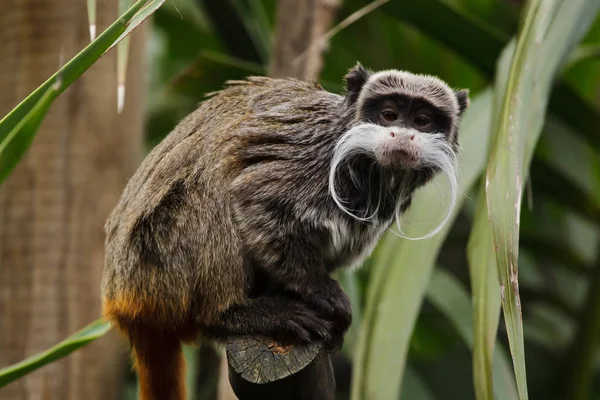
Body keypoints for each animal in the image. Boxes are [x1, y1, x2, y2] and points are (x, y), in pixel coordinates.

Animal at [101, 63, 472, 400]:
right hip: (155, 262)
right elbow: (254, 199)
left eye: (422, 121)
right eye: (389, 115)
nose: (403, 134)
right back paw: (235, 315)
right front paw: (322, 292)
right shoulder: (310, 155)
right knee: (208, 194)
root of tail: (121, 299)